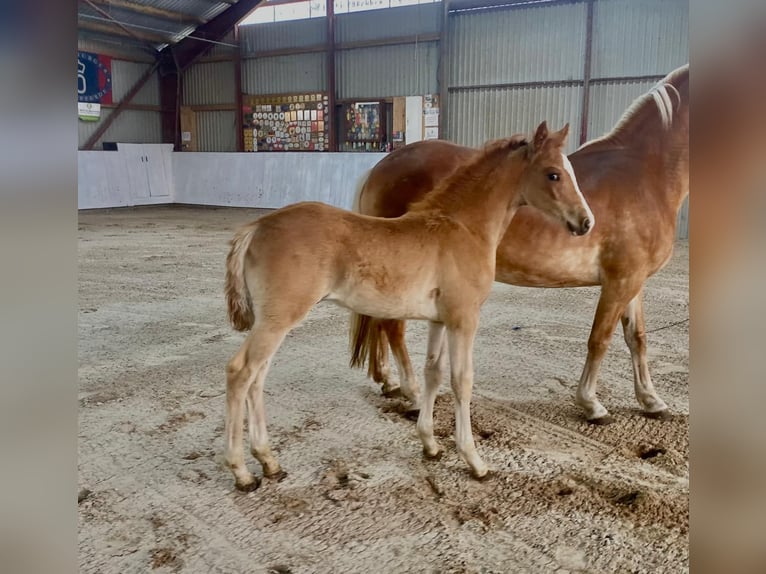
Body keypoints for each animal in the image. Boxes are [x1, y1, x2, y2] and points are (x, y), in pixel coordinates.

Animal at [222, 121, 592, 490]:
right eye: (554, 174)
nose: (586, 222)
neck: (464, 227)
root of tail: (256, 227)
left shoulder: (439, 320)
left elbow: (433, 372)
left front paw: (430, 444)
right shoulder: (464, 318)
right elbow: (462, 381)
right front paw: (474, 461)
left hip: (274, 321)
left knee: (258, 377)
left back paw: (269, 461)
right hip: (278, 319)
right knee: (241, 373)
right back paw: (242, 472)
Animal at [352, 64, 692, 428]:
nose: (585, 223)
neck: (644, 174)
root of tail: (380, 167)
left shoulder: (632, 281)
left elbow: (637, 339)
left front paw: (651, 400)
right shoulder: (620, 281)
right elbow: (599, 340)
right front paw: (591, 404)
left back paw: (388, 381)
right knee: (392, 326)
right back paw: (413, 394)